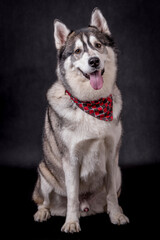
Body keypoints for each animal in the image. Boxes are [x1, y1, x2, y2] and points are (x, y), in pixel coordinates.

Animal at [32, 7, 129, 232]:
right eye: (77, 52)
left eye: (98, 45)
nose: (94, 61)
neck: (92, 104)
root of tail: (88, 207)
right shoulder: (71, 159)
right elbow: (73, 197)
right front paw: (71, 222)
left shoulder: (112, 155)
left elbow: (112, 195)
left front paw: (116, 215)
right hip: (44, 173)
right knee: (44, 201)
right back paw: (43, 212)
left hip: (119, 172)